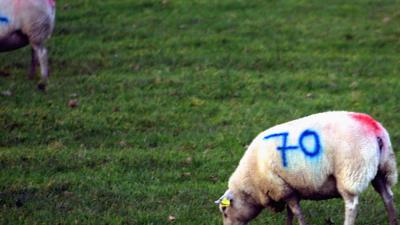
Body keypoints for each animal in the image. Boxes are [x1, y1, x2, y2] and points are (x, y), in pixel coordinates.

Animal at [217, 111, 398, 225]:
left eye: (225, 211)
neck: (251, 185)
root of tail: (374, 128)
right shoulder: (289, 187)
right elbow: (290, 212)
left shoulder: (282, 187)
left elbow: (296, 212)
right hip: (382, 169)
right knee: (387, 196)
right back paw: (393, 221)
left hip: (351, 172)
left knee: (351, 204)